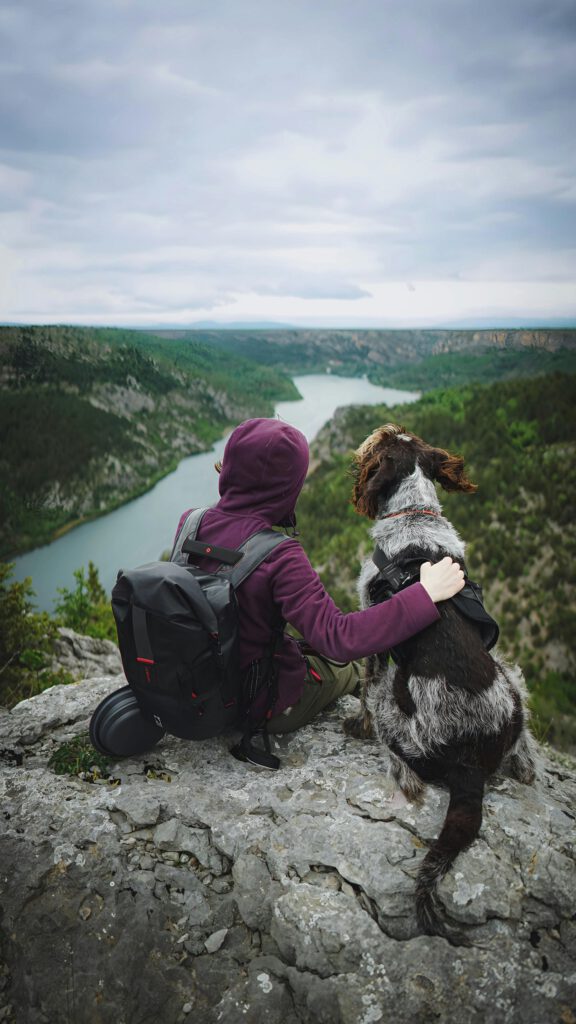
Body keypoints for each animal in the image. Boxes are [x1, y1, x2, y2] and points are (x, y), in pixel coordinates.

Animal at [342, 419, 537, 937]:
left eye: (384, 443)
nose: (382, 425)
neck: (416, 516)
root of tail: (470, 764)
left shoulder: (373, 628)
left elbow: (364, 687)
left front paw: (355, 725)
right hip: (508, 678)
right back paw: (525, 763)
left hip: (398, 715)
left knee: (401, 762)